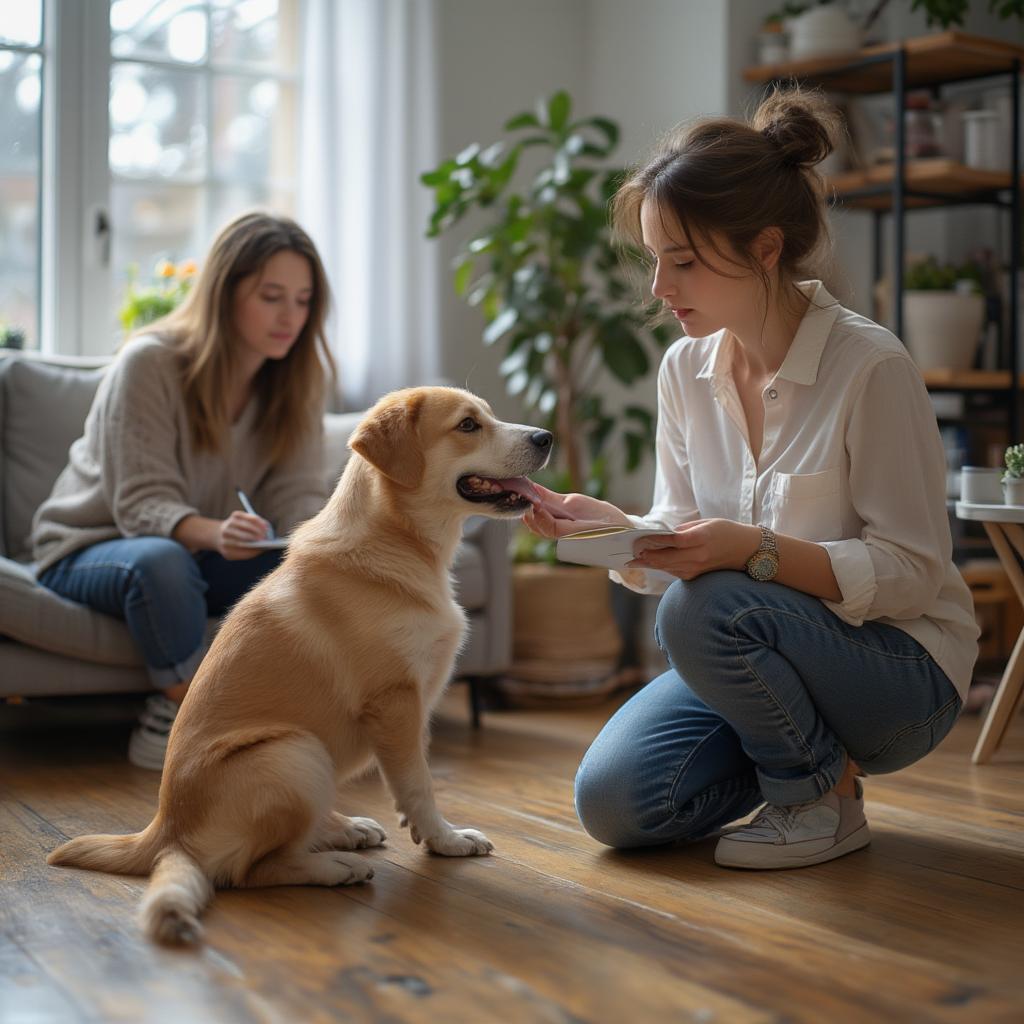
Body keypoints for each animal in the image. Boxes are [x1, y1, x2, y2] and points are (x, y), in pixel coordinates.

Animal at [46, 385, 552, 942]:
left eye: (489, 415)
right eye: (467, 425)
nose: (547, 436)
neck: (400, 542)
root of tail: (164, 835)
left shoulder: (415, 706)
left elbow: (415, 779)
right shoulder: (395, 702)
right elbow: (418, 785)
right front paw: (447, 840)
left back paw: (343, 829)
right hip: (294, 752)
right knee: (251, 870)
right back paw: (335, 865)